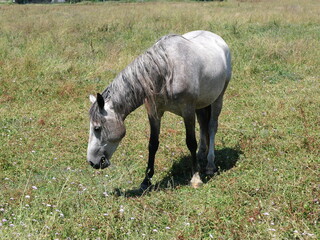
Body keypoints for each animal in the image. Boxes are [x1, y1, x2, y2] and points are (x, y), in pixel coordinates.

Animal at [86, 30, 231, 189]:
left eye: (97, 128)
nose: (92, 162)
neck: (166, 71)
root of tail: (217, 38)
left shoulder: (187, 111)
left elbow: (191, 142)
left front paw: (195, 177)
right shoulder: (154, 113)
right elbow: (153, 144)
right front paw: (146, 180)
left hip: (218, 98)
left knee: (211, 127)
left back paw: (210, 165)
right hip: (201, 104)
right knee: (203, 125)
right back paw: (201, 156)